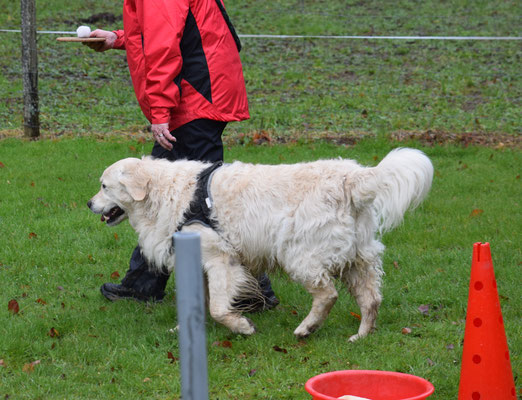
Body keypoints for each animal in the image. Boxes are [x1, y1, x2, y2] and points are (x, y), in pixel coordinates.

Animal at [88, 148, 430, 340]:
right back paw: (360, 336)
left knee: (327, 295)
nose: (89, 203)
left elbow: (217, 308)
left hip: (300, 254)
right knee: (371, 300)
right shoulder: (199, 264)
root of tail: (352, 178)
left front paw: (241, 326)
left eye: (104, 186)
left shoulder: (221, 260)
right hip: (358, 257)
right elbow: (199, 304)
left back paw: (306, 328)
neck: (168, 193)